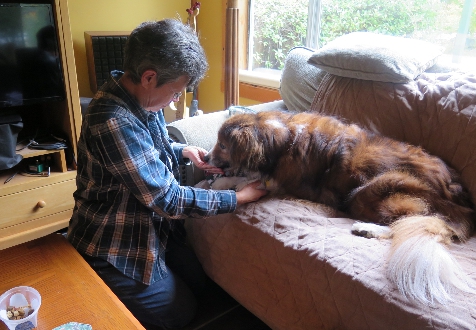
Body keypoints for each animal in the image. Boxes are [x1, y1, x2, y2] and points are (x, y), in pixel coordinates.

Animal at [205, 110, 476, 304]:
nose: (206, 158)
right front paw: (222, 180)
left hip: (375, 188)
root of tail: (464, 208)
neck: (280, 141)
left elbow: (249, 180)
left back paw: (367, 228)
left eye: (223, 145)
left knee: (405, 221)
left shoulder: (288, 184)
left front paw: (224, 182)